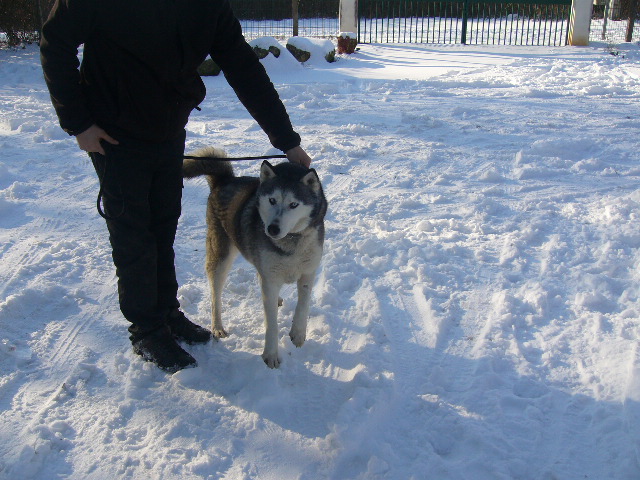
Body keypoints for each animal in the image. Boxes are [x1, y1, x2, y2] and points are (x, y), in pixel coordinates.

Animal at [184, 148, 324, 370]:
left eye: (294, 204)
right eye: (272, 200)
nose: (272, 228)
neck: (291, 241)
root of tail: (225, 180)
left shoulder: (308, 272)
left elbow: (303, 306)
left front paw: (298, 334)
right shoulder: (270, 278)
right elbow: (271, 324)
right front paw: (271, 355)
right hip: (221, 256)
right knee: (215, 295)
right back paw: (217, 326)